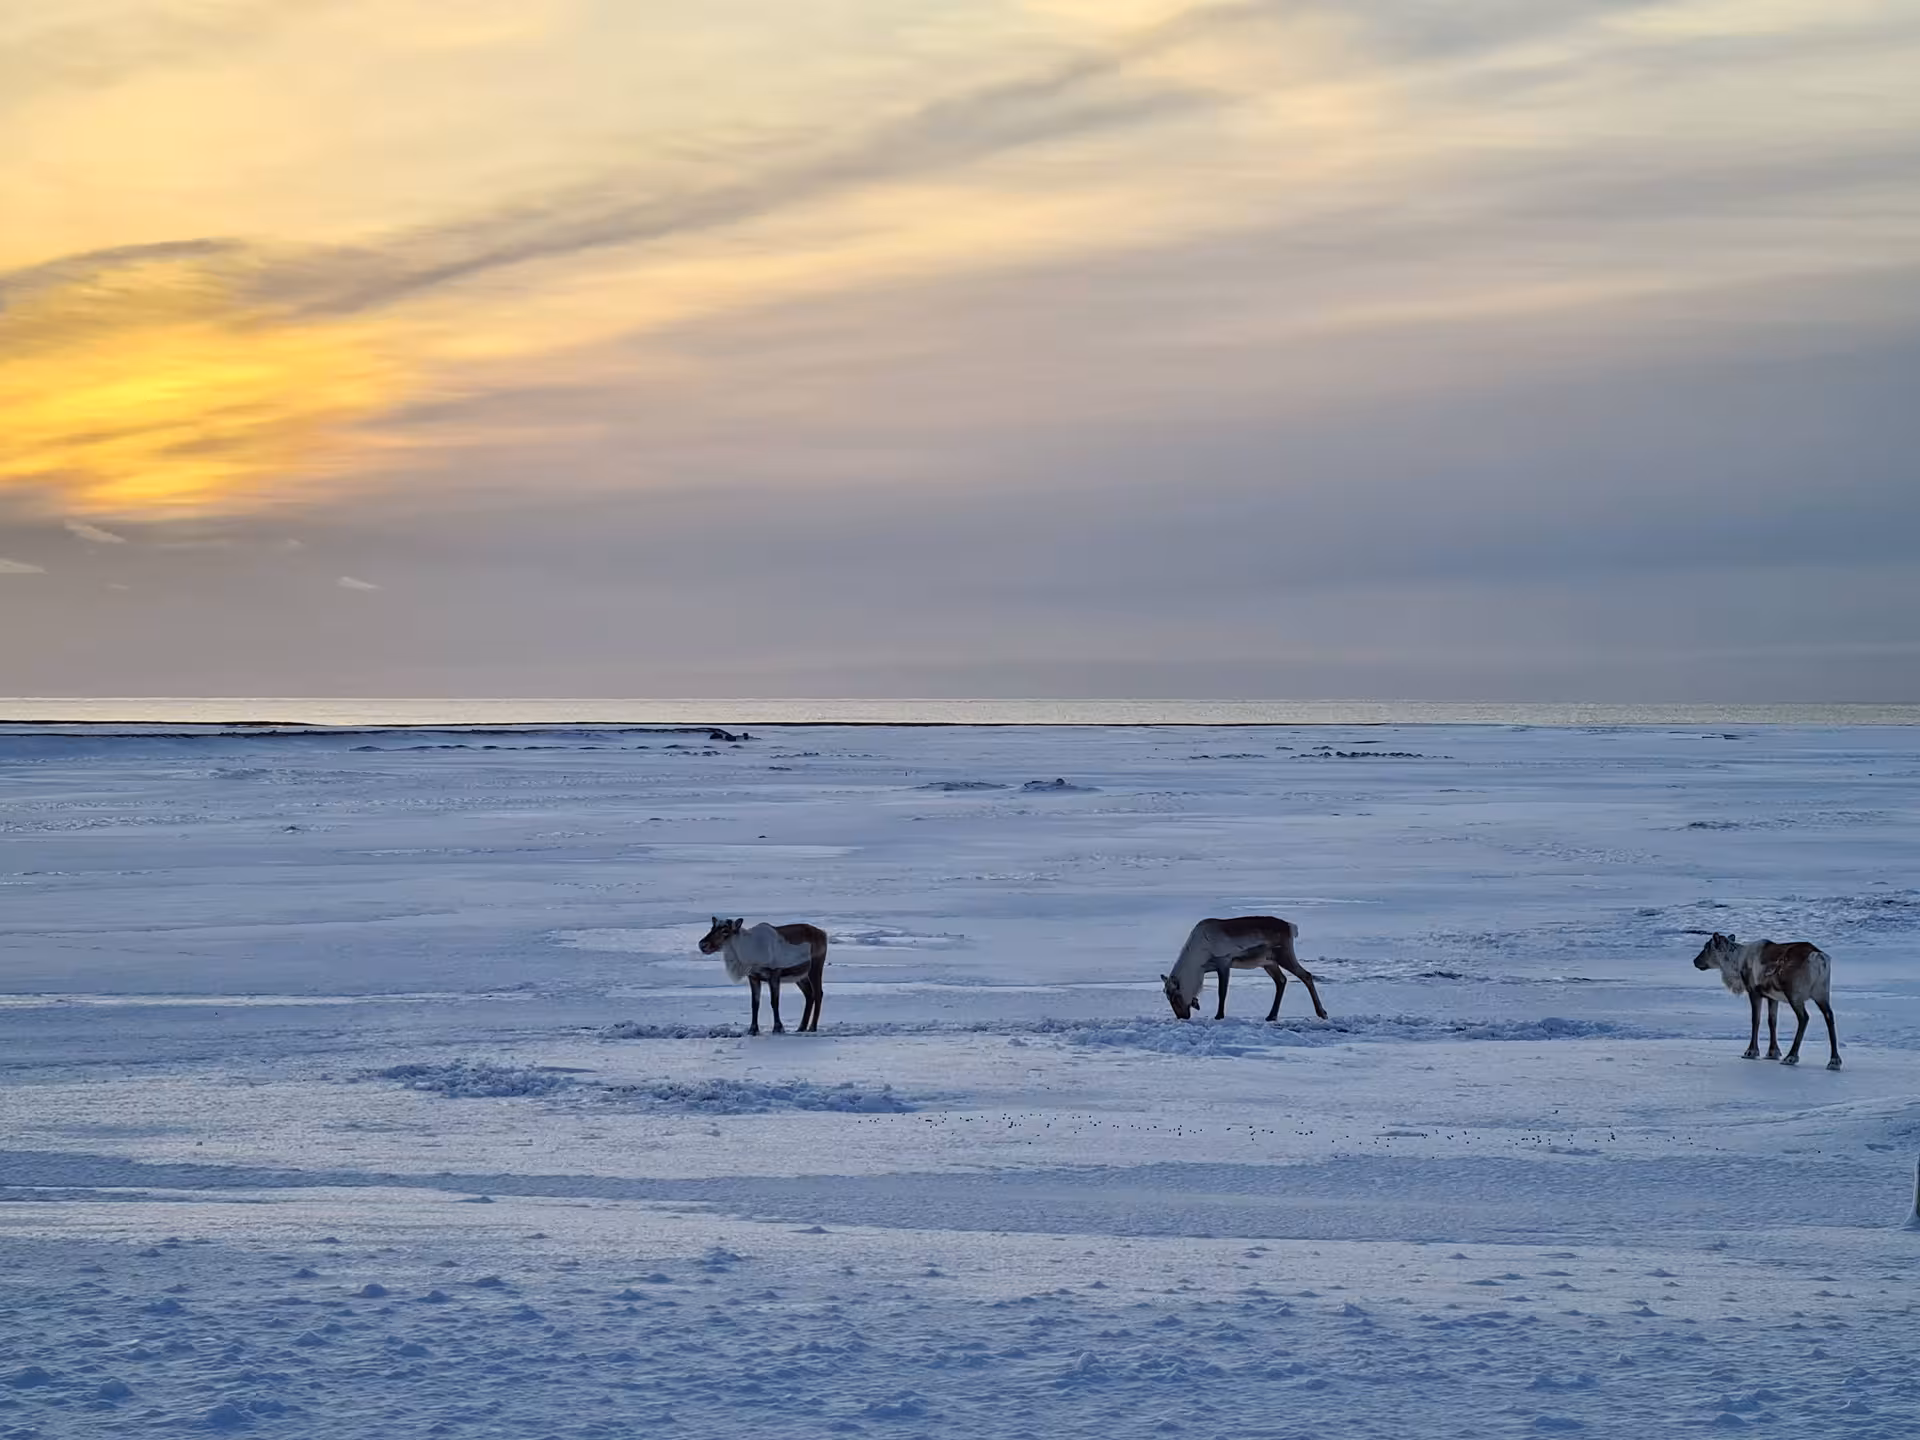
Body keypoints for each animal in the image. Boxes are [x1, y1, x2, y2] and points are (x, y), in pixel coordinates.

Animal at [698, 917, 827, 1035]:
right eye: (712, 928)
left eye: (725, 930)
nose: (702, 944)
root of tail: (823, 934)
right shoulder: (753, 977)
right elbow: (755, 1004)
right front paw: (752, 1030)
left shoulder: (774, 974)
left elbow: (774, 1002)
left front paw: (778, 1029)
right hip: (800, 976)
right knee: (809, 995)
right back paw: (801, 1028)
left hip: (815, 967)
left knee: (818, 993)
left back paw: (812, 1027)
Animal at [1162, 916, 1328, 1022]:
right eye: (1167, 997)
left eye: (1176, 996)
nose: (1182, 1017)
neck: (1197, 963)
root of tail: (1290, 927)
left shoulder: (1224, 961)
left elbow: (1222, 992)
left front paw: (1219, 1016)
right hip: (1268, 962)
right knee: (1281, 980)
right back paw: (1271, 1016)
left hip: (1284, 955)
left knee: (1306, 975)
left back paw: (1322, 1013)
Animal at [1689, 931, 1840, 1069]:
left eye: (1707, 947)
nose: (1695, 961)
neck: (1736, 963)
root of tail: (1818, 957)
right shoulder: (1772, 997)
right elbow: (1772, 1021)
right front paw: (1773, 1052)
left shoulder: (1754, 992)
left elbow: (1755, 1020)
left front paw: (1751, 1051)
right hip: (1822, 992)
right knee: (1829, 1016)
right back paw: (1834, 1061)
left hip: (1794, 994)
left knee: (1804, 1017)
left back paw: (1791, 1057)